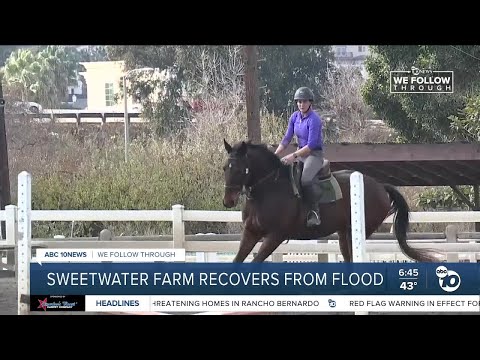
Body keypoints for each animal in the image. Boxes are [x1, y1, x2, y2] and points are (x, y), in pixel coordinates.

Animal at [223, 139, 436, 262]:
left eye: (240, 169)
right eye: (225, 167)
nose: (228, 201)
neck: (267, 190)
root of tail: (380, 186)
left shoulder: (276, 236)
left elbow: (254, 263)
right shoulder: (251, 232)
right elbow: (237, 262)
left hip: (357, 231)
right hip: (344, 233)